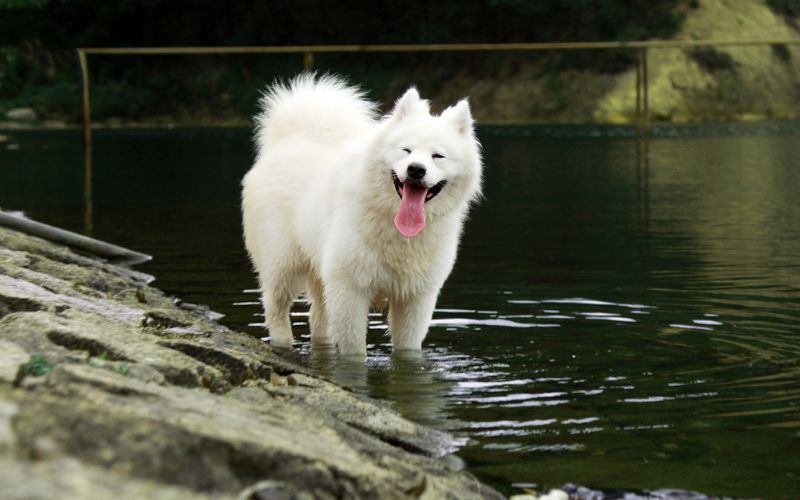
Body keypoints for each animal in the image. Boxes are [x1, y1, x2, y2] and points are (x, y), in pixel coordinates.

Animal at [242, 75, 482, 356]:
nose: (416, 170)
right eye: (406, 150)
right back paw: (282, 343)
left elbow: (407, 350)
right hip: (283, 265)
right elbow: (355, 351)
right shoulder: (350, 290)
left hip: (321, 273)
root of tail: (294, 137)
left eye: (438, 156)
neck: (396, 229)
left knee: (318, 319)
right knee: (276, 310)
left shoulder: (415, 298)